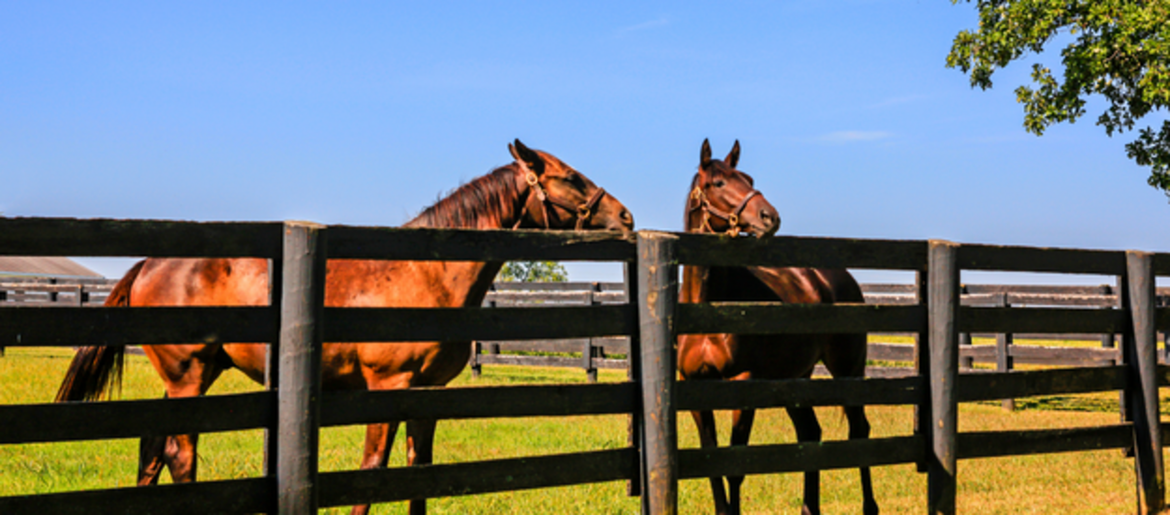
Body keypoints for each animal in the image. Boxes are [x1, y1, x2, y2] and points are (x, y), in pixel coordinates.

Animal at [54, 138, 636, 512]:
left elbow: (419, 471)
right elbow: (373, 470)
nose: (626, 217)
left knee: (153, 446)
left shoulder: (426, 394)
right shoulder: (387, 386)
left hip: (192, 377)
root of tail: (149, 263)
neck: (424, 273)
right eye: (570, 177)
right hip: (189, 376)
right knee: (179, 453)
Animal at [678, 139, 879, 515]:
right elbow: (712, 465)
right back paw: (809, 509)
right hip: (794, 378)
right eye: (718, 183)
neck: (710, 310)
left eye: (748, 178)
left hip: (848, 369)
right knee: (811, 433)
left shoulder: (743, 384)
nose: (769, 217)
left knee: (859, 430)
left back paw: (869, 507)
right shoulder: (695, 389)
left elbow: (735, 467)